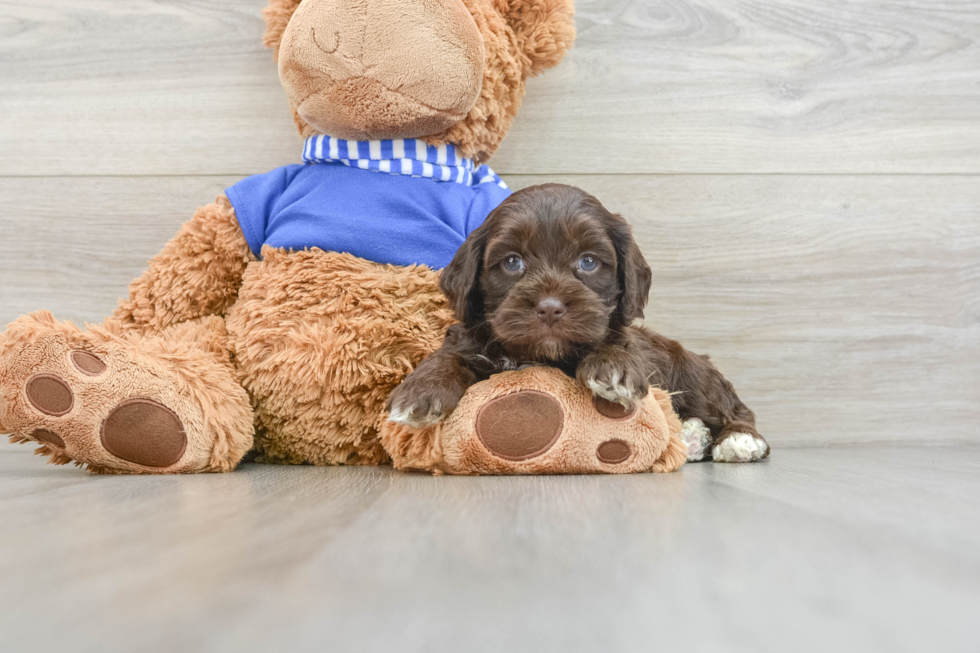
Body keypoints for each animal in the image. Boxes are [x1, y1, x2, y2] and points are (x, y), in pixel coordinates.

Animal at [386, 181, 768, 460]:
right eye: (512, 262)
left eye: (588, 261)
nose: (550, 308)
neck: (540, 354)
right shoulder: (472, 337)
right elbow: (450, 354)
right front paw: (420, 391)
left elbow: (617, 342)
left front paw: (613, 370)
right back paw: (691, 438)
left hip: (692, 373)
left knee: (730, 407)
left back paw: (738, 440)